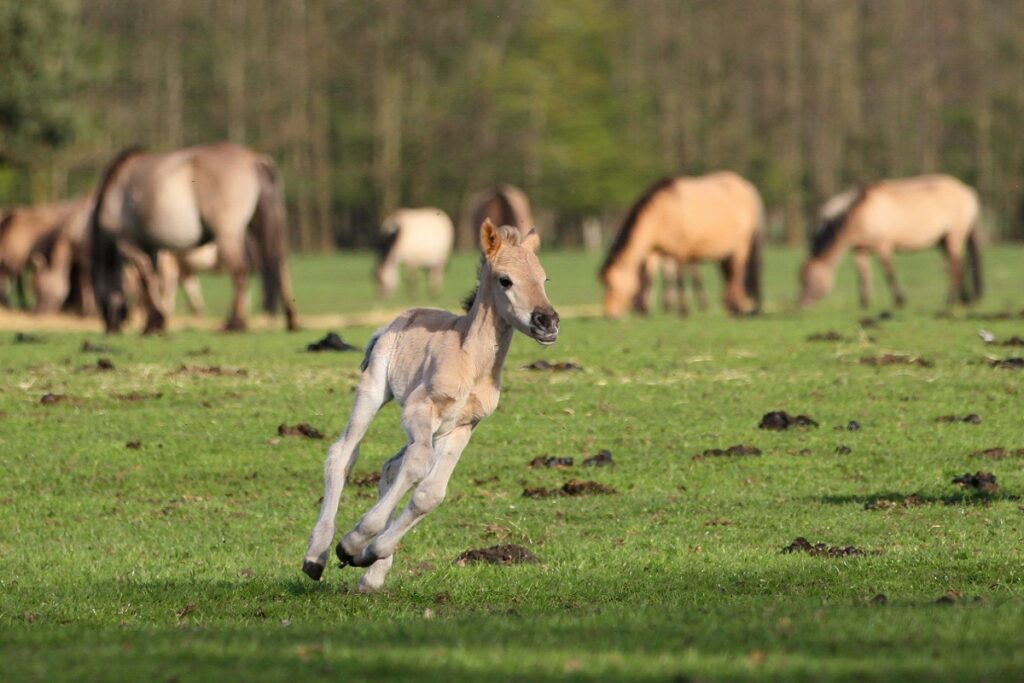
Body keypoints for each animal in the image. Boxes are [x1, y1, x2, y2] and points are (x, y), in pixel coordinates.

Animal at [89, 143, 299, 331]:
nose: (111, 327)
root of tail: (256, 160)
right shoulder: (152, 248)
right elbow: (153, 282)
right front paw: (155, 322)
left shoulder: (128, 242)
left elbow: (147, 281)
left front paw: (154, 322)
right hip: (263, 233)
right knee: (281, 272)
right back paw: (291, 320)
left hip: (228, 236)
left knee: (240, 273)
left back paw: (235, 323)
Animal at [303, 220, 561, 593]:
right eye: (505, 280)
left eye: (544, 278)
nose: (547, 322)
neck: (471, 362)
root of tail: (389, 323)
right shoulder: (419, 409)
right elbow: (417, 465)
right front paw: (352, 544)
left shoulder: (464, 426)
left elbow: (431, 492)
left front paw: (370, 553)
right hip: (374, 391)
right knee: (344, 454)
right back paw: (317, 556)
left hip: (436, 429)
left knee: (391, 465)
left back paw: (372, 573)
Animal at [598, 172, 761, 319]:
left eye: (611, 285)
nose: (610, 315)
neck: (662, 213)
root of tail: (746, 186)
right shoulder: (654, 251)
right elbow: (649, 278)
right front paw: (646, 310)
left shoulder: (681, 251)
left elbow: (679, 279)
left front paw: (683, 311)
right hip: (725, 253)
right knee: (729, 275)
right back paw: (732, 307)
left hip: (741, 247)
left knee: (738, 274)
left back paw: (737, 309)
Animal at [798, 174, 983, 307]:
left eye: (808, 280)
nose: (802, 304)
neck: (860, 213)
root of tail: (967, 190)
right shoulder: (860, 249)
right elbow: (863, 275)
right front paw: (865, 303)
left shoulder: (883, 246)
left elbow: (889, 273)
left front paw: (900, 300)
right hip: (943, 240)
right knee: (958, 265)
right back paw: (963, 298)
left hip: (955, 235)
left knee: (955, 266)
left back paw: (951, 300)